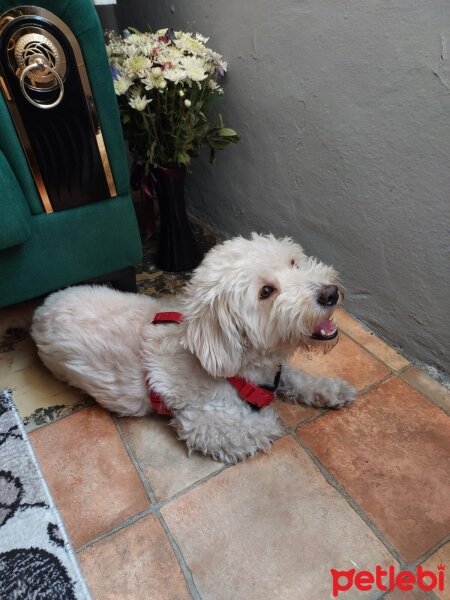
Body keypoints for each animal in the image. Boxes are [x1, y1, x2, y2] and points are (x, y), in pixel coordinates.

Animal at [30, 234, 356, 464]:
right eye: (266, 292)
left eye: (293, 262)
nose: (329, 293)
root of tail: (41, 309)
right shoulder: (201, 423)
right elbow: (265, 424)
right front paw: (273, 415)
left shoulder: (273, 370)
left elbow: (296, 377)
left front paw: (329, 390)